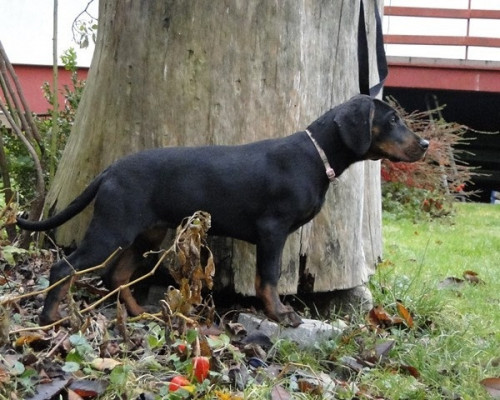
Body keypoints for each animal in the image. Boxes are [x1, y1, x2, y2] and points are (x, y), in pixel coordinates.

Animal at [17, 95, 428, 326]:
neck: (316, 156)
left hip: (146, 232)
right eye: (392, 120)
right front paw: (280, 314)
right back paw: (50, 317)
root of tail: (110, 170)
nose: (424, 144)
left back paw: (138, 313)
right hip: (112, 228)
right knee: (65, 268)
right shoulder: (272, 230)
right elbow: (268, 278)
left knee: (115, 275)